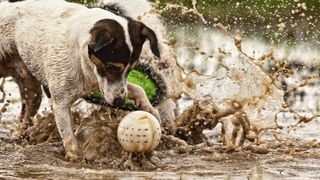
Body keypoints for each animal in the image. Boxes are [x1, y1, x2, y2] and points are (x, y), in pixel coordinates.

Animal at [0, 0, 160, 158]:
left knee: (25, 116)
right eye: (110, 67)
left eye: (131, 69)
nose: (119, 102)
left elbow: (138, 89)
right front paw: (76, 157)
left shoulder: (97, 84)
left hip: (32, 92)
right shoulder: (60, 103)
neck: (82, 58)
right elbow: (69, 137)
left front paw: (150, 109)